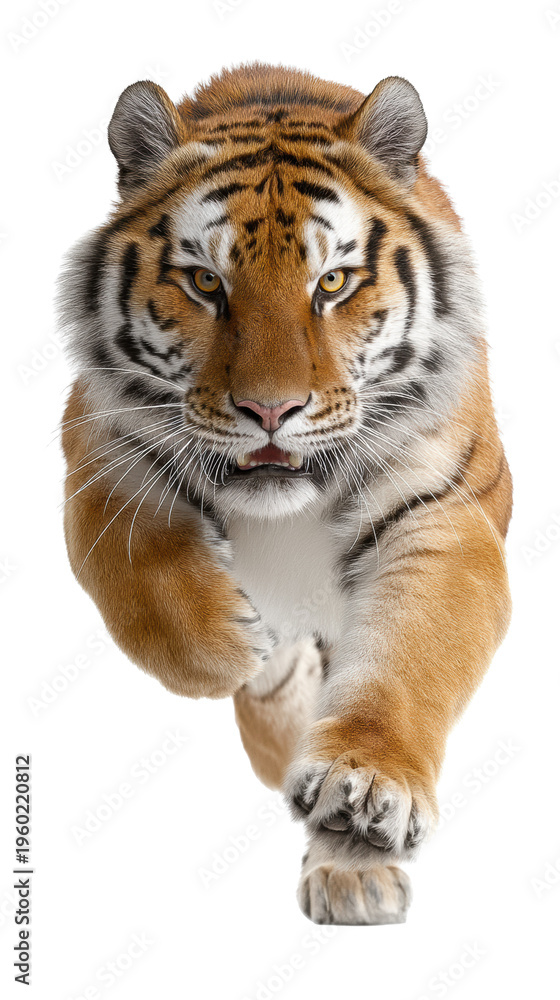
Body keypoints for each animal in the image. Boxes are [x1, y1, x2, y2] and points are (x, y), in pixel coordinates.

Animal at [59, 63, 512, 925]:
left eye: (331, 281)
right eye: (206, 281)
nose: (270, 411)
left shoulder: (442, 516)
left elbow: (410, 658)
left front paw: (364, 783)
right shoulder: (99, 451)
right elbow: (134, 558)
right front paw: (228, 645)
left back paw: (354, 871)